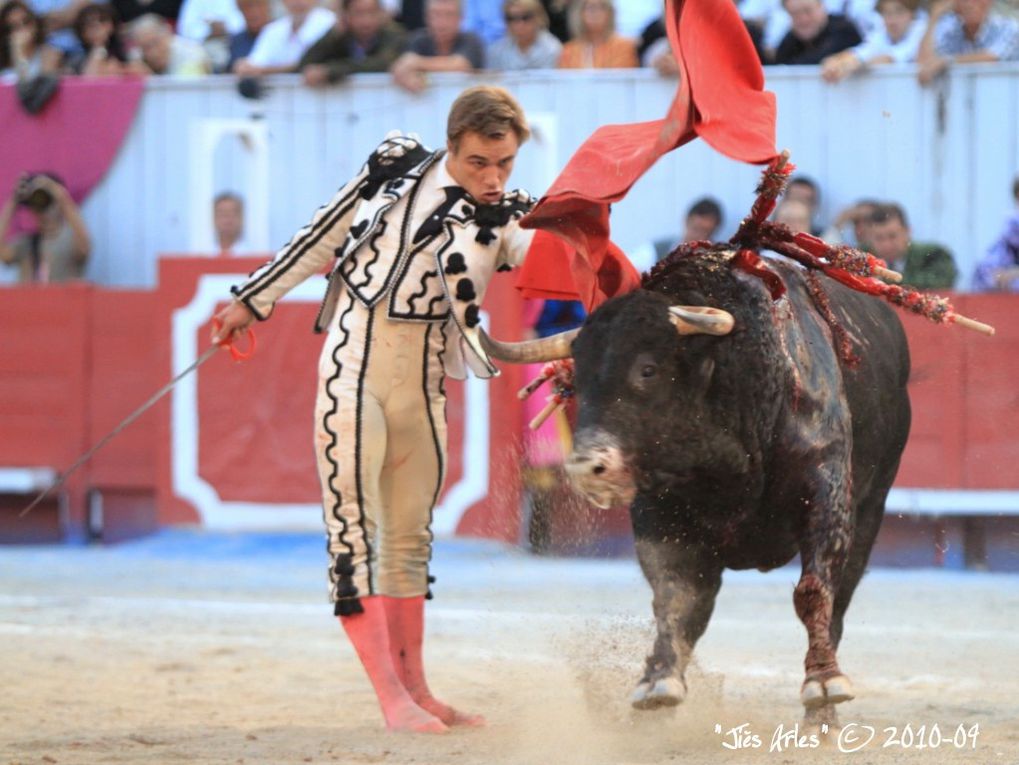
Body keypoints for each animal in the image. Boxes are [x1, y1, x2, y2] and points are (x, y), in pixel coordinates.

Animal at [566, 252, 908, 725]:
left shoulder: (826, 492)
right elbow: (675, 597)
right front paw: (658, 681)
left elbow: (813, 590)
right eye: (576, 380)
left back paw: (822, 716)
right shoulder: (657, 512)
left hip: (872, 508)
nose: (586, 467)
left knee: (839, 600)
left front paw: (823, 683)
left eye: (648, 370)